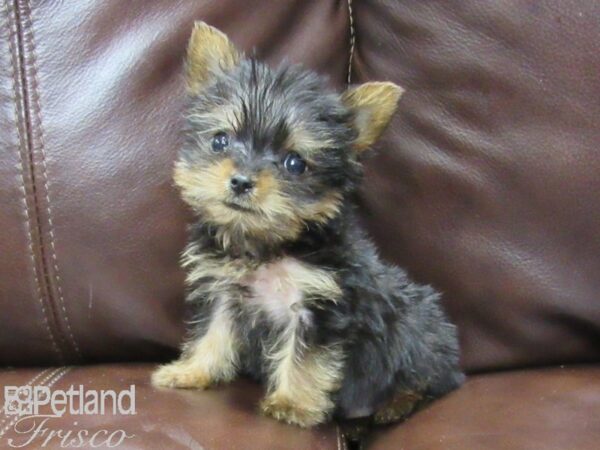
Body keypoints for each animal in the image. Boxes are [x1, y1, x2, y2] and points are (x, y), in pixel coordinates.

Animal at [151, 22, 464, 428]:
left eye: (295, 163)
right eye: (220, 141)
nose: (241, 181)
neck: (267, 246)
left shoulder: (318, 306)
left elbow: (305, 359)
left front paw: (292, 404)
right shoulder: (223, 291)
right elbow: (213, 334)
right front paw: (191, 371)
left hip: (417, 326)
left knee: (430, 375)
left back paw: (397, 402)